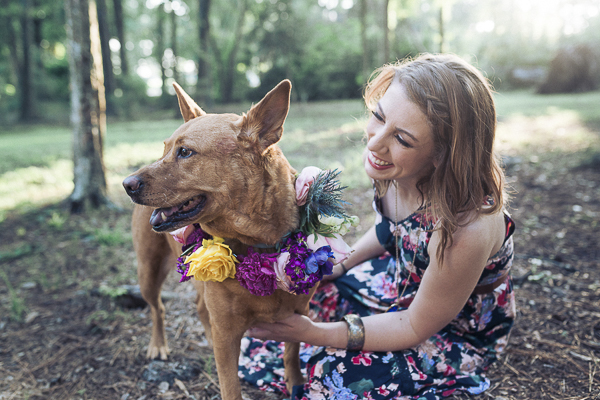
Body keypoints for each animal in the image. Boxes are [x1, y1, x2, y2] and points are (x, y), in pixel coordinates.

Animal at [123, 79, 318, 398]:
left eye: (185, 152)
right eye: (164, 150)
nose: (126, 184)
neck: (256, 244)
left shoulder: (299, 313)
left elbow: (291, 352)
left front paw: (296, 383)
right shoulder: (227, 336)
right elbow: (230, 387)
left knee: (199, 307)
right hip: (148, 271)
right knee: (158, 308)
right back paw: (158, 344)